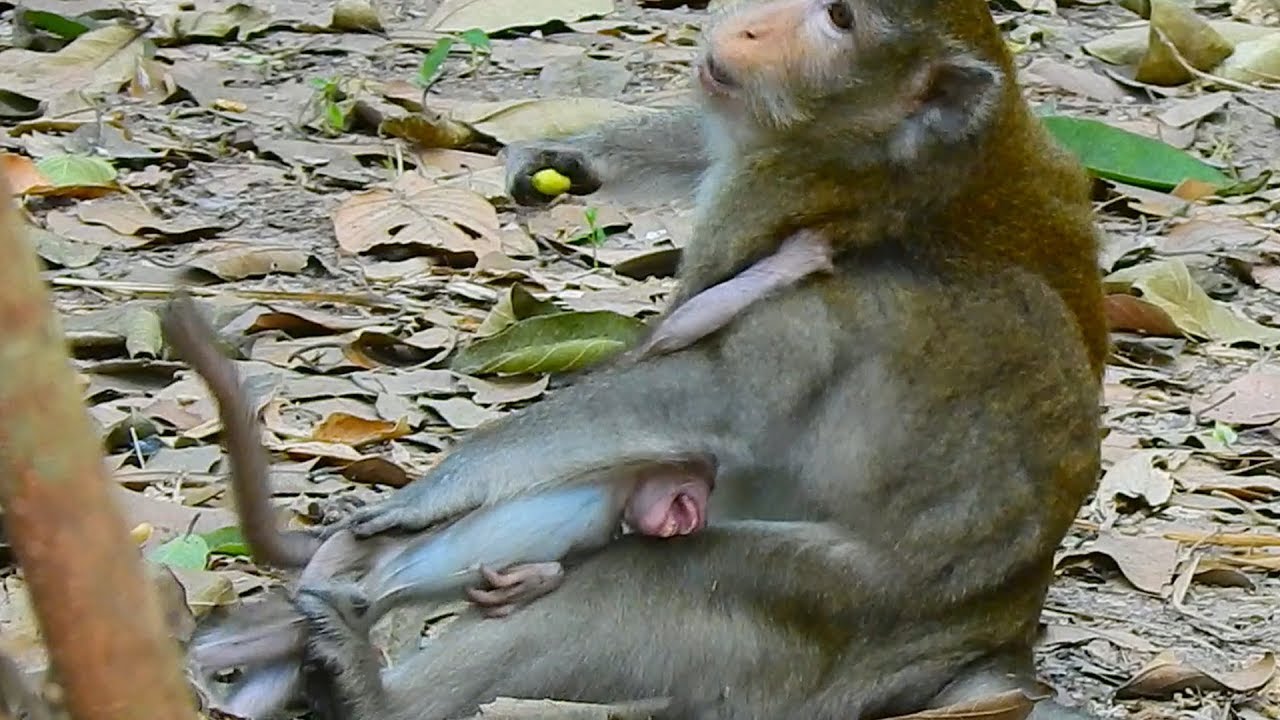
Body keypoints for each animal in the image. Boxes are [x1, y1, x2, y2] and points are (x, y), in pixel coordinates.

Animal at [289, 0, 1109, 718]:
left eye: (841, 18)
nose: (747, 26)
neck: (878, 157)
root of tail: (995, 639)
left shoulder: (830, 297)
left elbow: (701, 394)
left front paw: (438, 489)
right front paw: (570, 154)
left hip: (839, 619)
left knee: (656, 582)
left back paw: (369, 696)